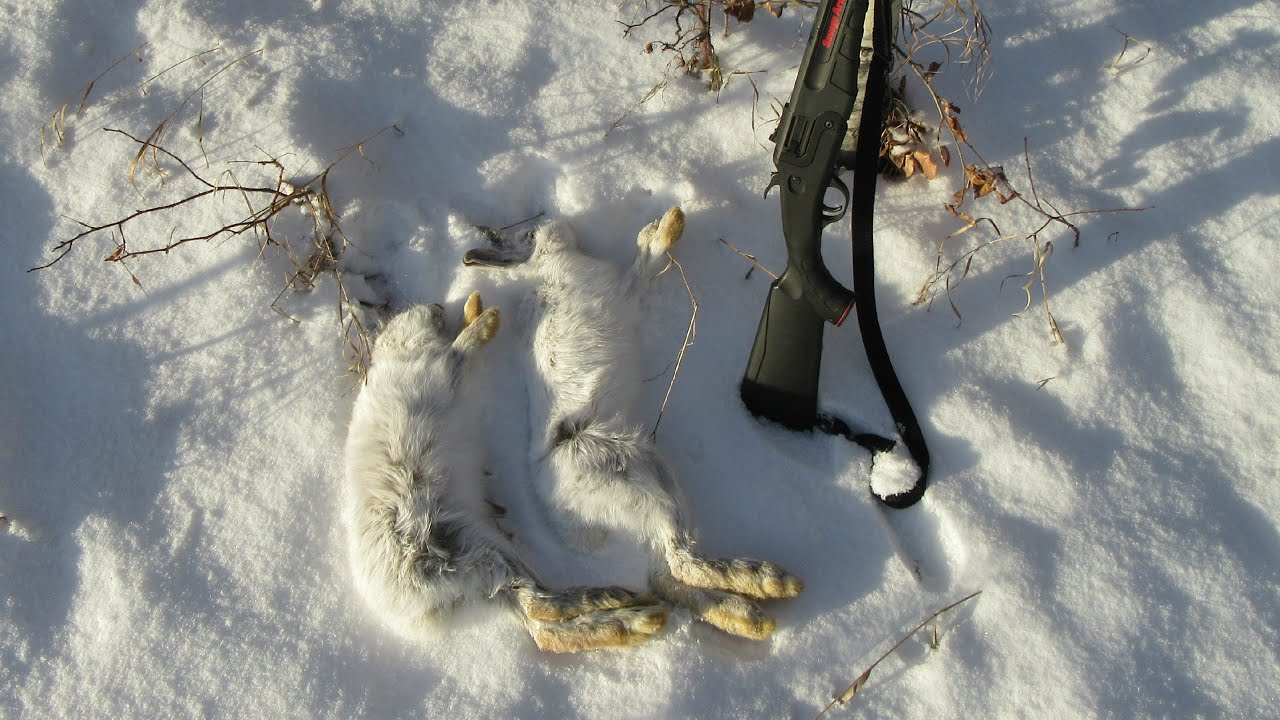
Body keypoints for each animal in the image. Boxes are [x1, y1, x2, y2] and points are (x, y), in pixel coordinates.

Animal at [342, 294, 669, 653]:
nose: (436, 307)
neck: (402, 352)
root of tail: (412, 607)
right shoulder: (446, 369)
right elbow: (463, 346)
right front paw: (488, 321)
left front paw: (475, 310)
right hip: (479, 550)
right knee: (539, 605)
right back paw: (629, 607)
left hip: (479, 558)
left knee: (540, 624)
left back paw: (634, 618)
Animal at [464, 208, 803, 640]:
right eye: (528, 234)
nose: (553, 223)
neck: (545, 267)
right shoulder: (623, 291)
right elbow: (644, 267)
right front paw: (669, 228)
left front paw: (659, 226)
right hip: (631, 480)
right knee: (679, 562)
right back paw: (771, 585)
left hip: (654, 475)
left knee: (670, 572)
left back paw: (749, 614)